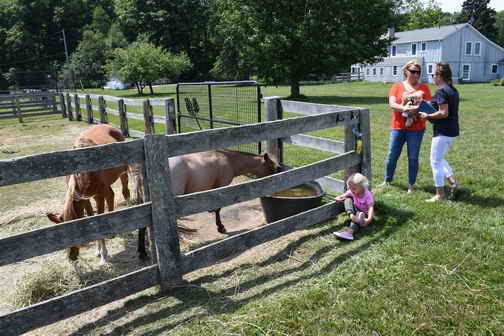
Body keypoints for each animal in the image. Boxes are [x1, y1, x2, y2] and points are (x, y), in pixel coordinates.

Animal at [47, 124, 130, 266]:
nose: (71, 257)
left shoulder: (98, 196)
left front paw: (104, 256)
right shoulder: (84, 198)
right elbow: (91, 217)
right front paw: (98, 251)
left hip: (123, 173)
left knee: (125, 192)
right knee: (111, 195)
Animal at [137, 150, 276, 260]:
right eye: (271, 168)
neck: (228, 160)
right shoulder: (221, 188)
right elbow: (218, 209)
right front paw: (221, 227)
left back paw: (142, 252)